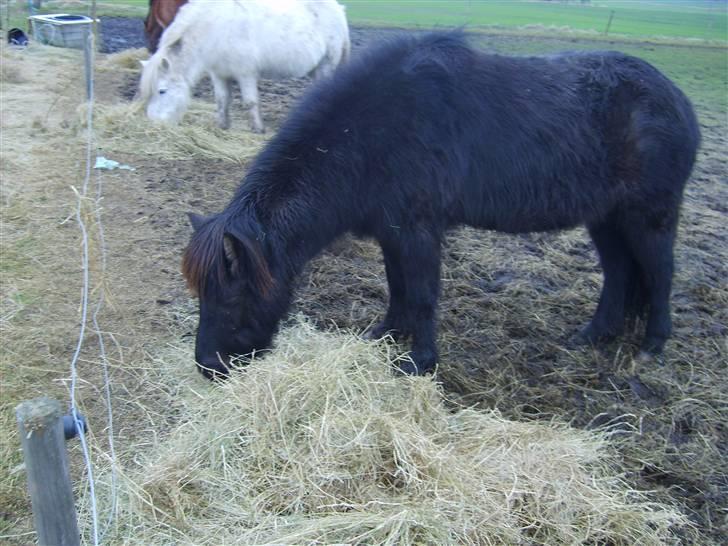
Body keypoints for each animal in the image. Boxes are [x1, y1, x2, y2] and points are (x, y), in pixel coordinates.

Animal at [141, 0, 352, 131]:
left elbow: (250, 101)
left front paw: (258, 128)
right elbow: (221, 100)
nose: (154, 123)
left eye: (161, 91)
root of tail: (339, 10)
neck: (215, 28)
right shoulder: (219, 74)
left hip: (326, 66)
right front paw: (223, 125)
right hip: (315, 70)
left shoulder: (246, 74)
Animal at [182, 31, 700, 376]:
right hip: (607, 220)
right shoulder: (392, 234)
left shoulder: (419, 232)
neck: (371, 134)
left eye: (233, 292)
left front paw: (419, 362)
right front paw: (387, 336)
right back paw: (595, 335)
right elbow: (398, 289)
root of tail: (677, 99)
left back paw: (652, 345)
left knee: (660, 273)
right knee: (619, 274)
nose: (208, 365)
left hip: (648, 218)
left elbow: (424, 295)